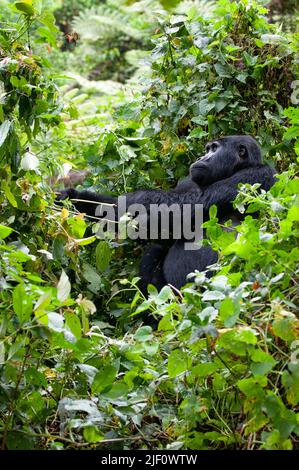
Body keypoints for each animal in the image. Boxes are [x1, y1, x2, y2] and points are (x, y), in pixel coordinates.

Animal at [57, 134, 278, 292]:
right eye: (208, 149)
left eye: (215, 149)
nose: (201, 157)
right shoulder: (188, 180)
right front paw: (73, 197)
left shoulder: (257, 176)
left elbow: (184, 207)